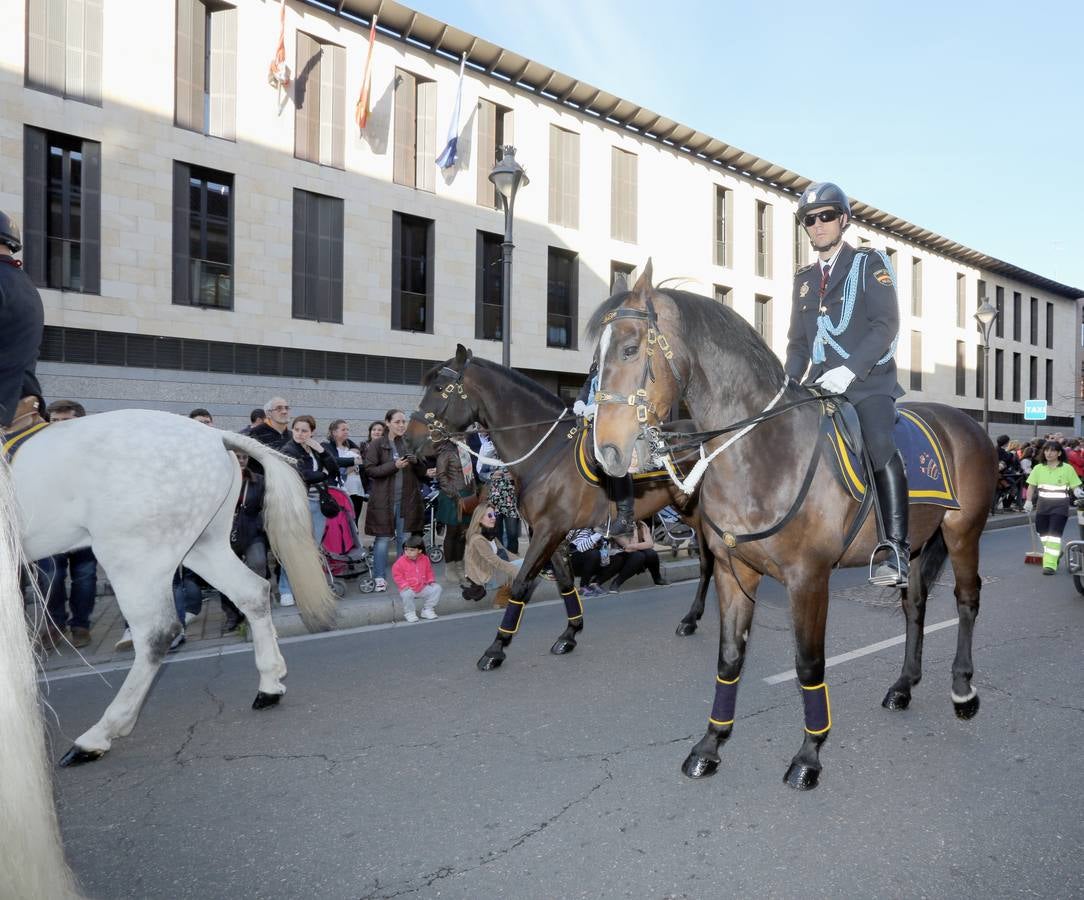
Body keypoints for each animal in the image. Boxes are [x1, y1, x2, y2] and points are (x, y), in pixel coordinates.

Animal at [10, 407, 333, 767]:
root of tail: (215, 436)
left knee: (157, 634)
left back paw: (98, 735)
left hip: (135, 556)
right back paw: (269, 686)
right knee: (252, 592)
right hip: (201, 545)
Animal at [405, 344, 711, 667]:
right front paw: (570, 634)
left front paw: (496, 647)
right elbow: (565, 582)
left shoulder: (547, 531)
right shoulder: (554, 533)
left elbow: (522, 583)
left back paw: (692, 619)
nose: (407, 440)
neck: (546, 450)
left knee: (708, 563)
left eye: (439, 388)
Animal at [589, 267, 992, 789]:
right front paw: (711, 744)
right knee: (915, 606)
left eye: (631, 348)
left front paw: (809, 754)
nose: (606, 452)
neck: (761, 451)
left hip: (964, 535)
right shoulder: (733, 571)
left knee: (966, 601)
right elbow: (730, 656)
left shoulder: (808, 578)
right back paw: (904, 685)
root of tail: (968, 423)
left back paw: (963, 691)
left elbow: (808, 662)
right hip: (918, 545)